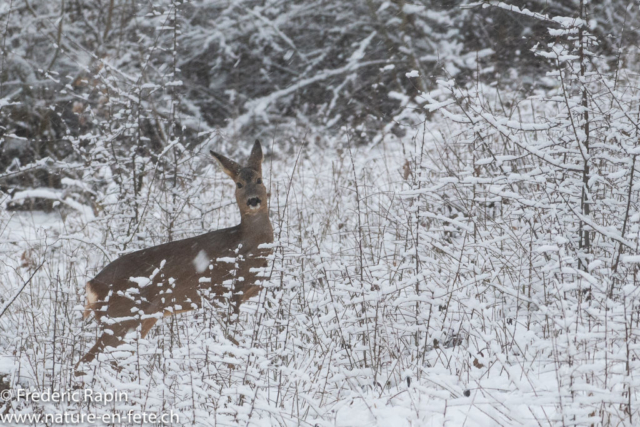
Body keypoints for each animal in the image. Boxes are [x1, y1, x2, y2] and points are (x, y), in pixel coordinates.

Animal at [77, 140, 272, 372]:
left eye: (260, 179)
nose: (253, 200)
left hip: (140, 319)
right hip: (120, 318)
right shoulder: (226, 291)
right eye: (239, 184)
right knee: (85, 360)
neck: (246, 243)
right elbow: (231, 338)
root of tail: (91, 285)